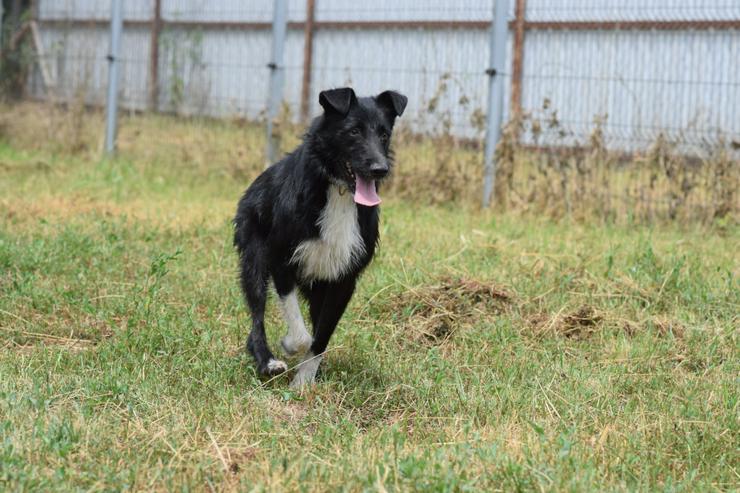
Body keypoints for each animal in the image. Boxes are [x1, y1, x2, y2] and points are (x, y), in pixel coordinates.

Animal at [234, 88, 408, 388]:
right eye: (353, 132)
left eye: (384, 134)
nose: (380, 169)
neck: (340, 192)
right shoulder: (281, 259)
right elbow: (302, 334)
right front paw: (290, 347)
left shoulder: (343, 279)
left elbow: (321, 336)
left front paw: (304, 381)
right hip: (254, 257)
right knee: (257, 314)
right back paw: (266, 360)